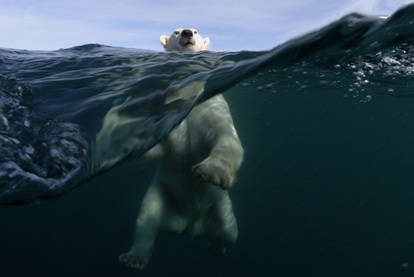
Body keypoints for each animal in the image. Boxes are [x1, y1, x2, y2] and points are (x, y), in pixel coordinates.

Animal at [118, 29, 244, 268]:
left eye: (195, 31)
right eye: (175, 31)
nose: (186, 33)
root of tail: (189, 226)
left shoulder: (210, 106)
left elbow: (225, 136)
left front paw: (212, 172)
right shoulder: (167, 113)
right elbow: (159, 147)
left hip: (221, 207)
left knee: (229, 232)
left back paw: (216, 248)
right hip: (161, 194)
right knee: (146, 219)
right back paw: (134, 257)